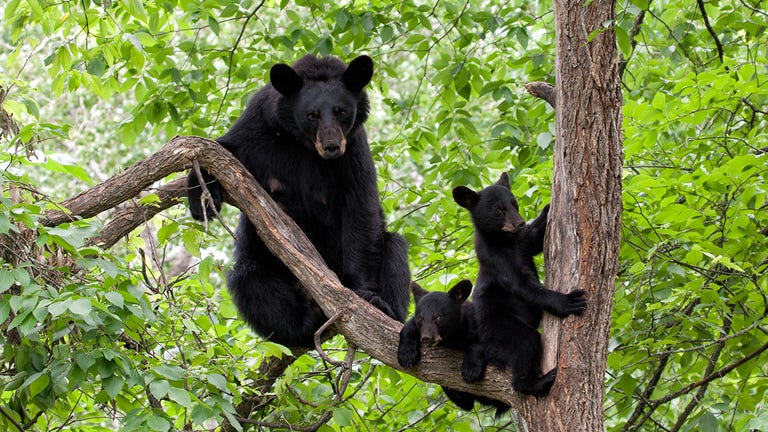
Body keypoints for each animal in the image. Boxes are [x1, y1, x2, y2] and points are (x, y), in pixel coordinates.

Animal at [188, 54, 412, 348]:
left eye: (341, 111)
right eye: (312, 115)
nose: (331, 147)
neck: (303, 144)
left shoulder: (353, 148)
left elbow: (361, 207)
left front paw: (363, 294)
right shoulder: (258, 124)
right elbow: (221, 148)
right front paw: (199, 199)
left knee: (394, 248)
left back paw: (386, 308)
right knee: (249, 278)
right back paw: (303, 324)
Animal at [396, 278, 510, 414]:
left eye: (438, 317)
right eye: (420, 318)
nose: (426, 338)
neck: (451, 337)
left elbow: (481, 342)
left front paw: (470, 369)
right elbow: (408, 327)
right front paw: (406, 355)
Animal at [452, 174, 584, 396]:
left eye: (514, 203)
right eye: (499, 210)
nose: (520, 223)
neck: (506, 242)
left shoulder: (523, 242)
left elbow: (536, 238)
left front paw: (548, 207)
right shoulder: (496, 260)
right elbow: (523, 286)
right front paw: (568, 301)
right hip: (500, 329)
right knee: (526, 343)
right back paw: (536, 382)